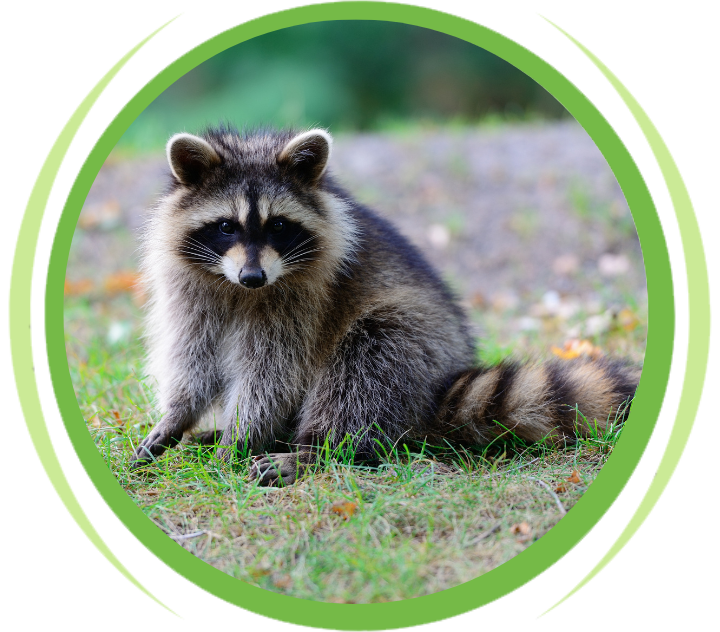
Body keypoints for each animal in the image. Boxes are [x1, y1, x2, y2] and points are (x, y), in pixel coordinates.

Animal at [132, 125, 641, 485]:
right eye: (226, 227)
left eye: (278, 225)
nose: (253, 277)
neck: (237, 289)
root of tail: (442, 384)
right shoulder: (190, 288)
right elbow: (192, 356)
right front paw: (178, 416)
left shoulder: (302, 299)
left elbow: (273, 373)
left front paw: (242, 437)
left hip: (412, 343)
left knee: (365, 366)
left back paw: (314, 450)